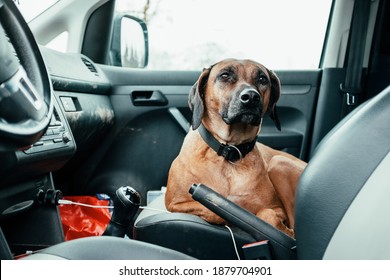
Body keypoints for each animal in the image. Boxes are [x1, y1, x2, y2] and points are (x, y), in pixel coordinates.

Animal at [164, 58, 304, 236]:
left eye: (262, 79)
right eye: (225, 75)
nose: (251, 97)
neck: (229, 151)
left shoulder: (276, 208)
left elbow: (267, 215)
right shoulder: (175, 203)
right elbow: (214, 208)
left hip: (279, 162)